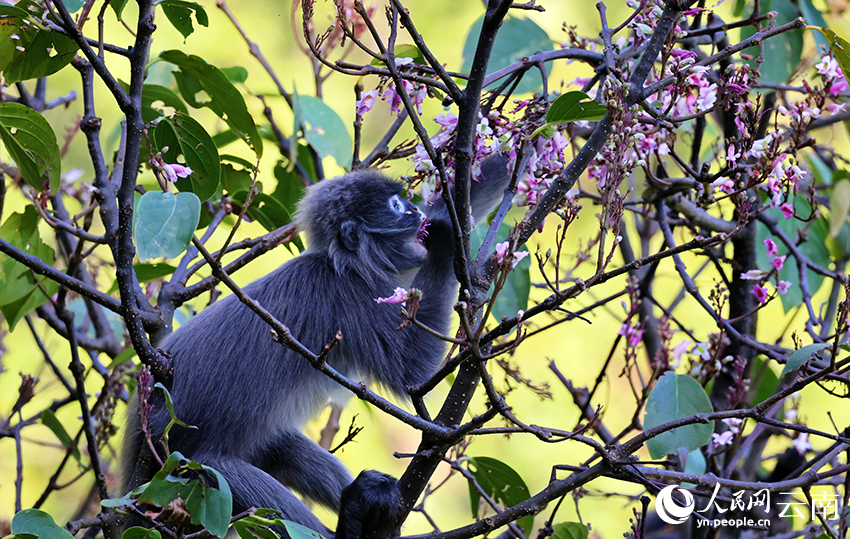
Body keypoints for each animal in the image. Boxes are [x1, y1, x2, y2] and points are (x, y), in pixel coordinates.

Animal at [121, 155, 510, 536]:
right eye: (397, 206)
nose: (416, 212)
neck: (343, 263)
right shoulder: (352, 296)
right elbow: (413, 370)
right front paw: (444, 236)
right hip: (173, 465)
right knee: (219, 472)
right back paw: (349, 523)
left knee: (281, 446)